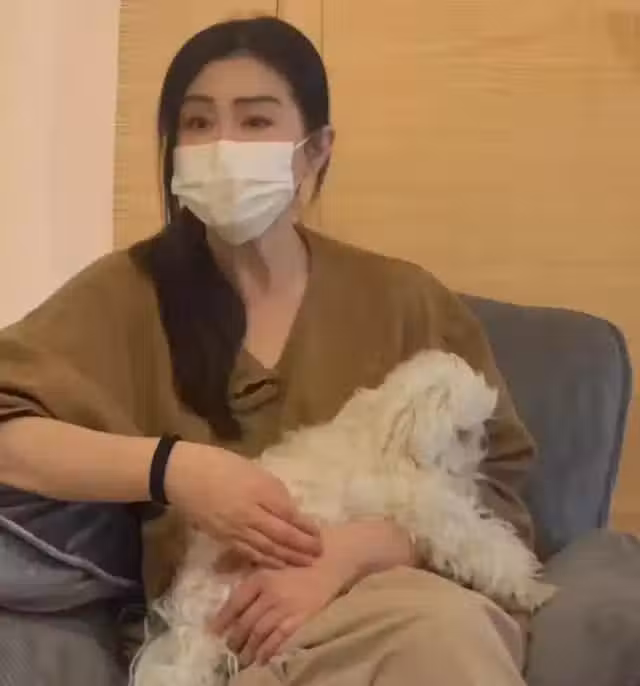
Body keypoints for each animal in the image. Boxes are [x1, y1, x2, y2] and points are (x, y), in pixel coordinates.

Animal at [131, 350, 553, 686]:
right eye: (465, 432)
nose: (483, 448)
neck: (393, 433)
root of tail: (190, 623)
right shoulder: (432, 511)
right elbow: (487, 546)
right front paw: (530, 587)